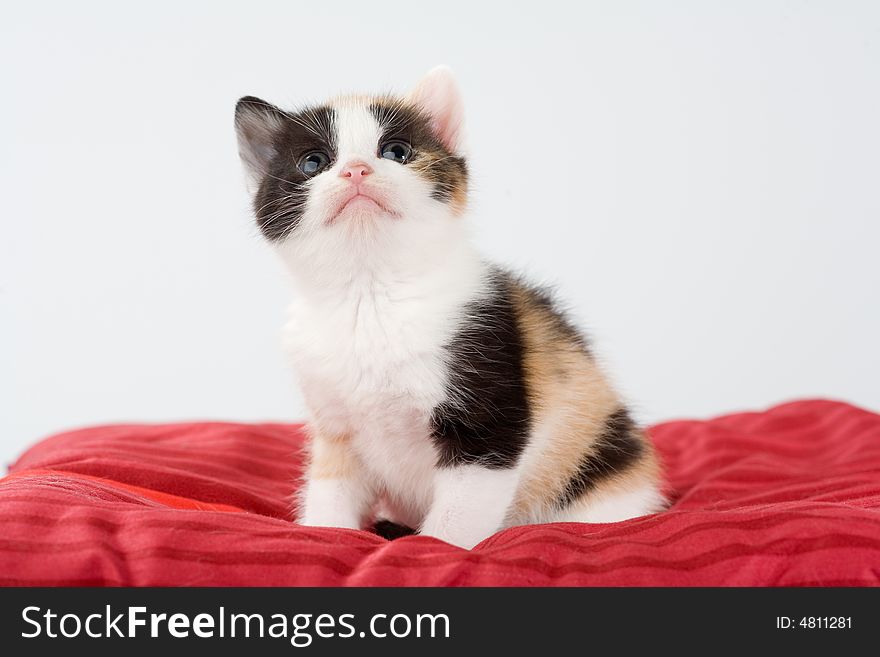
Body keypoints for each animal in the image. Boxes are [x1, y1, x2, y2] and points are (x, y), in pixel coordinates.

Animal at [237, 66, 664, 548]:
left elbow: (457, 516)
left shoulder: (487, 412)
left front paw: (434, 548)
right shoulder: (334, 424)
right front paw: (327, 533)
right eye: (313, 163)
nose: (355, 170)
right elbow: (329, 489)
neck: (370, 296)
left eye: (396, 152)